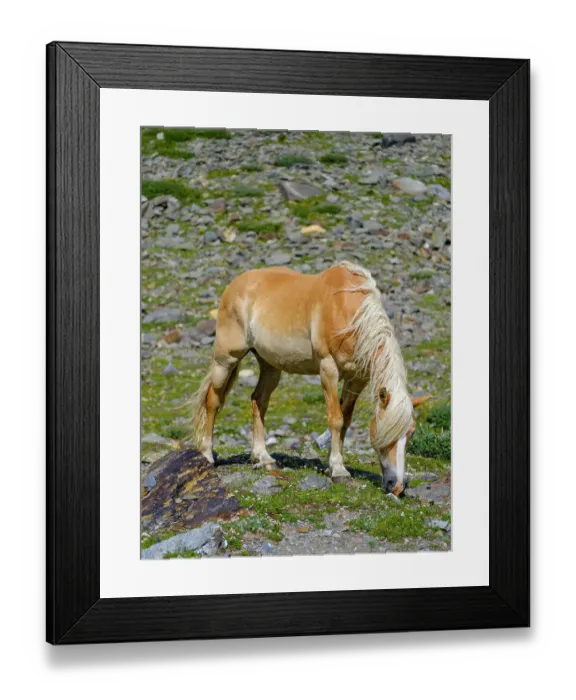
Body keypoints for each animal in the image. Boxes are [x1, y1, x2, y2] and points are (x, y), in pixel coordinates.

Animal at [189, 261, 429, 496]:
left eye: (411, 433)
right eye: (387, 430)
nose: (396, 486)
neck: (348, 312)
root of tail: (235, 285)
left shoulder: (356, 379)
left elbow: (346, 421)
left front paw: (335, 465)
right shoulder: (328, 370)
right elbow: (336, 419)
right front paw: (339, 470)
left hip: (270, 366)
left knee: (259, 400)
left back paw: (263, 458)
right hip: (226, 360)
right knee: (213, 401)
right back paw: (207, 455)